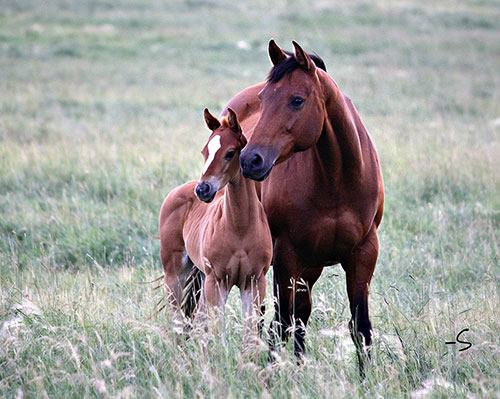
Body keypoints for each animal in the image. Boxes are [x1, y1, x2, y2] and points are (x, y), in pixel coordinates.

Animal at [240, 40, 384, 368]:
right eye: (263, 99)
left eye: (297, 100)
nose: (250, 159)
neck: (336, 178)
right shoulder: (287, 255)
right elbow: (281, 322)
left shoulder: (364, 253)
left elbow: (361, 328)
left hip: (312, 264)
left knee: (300, 315)